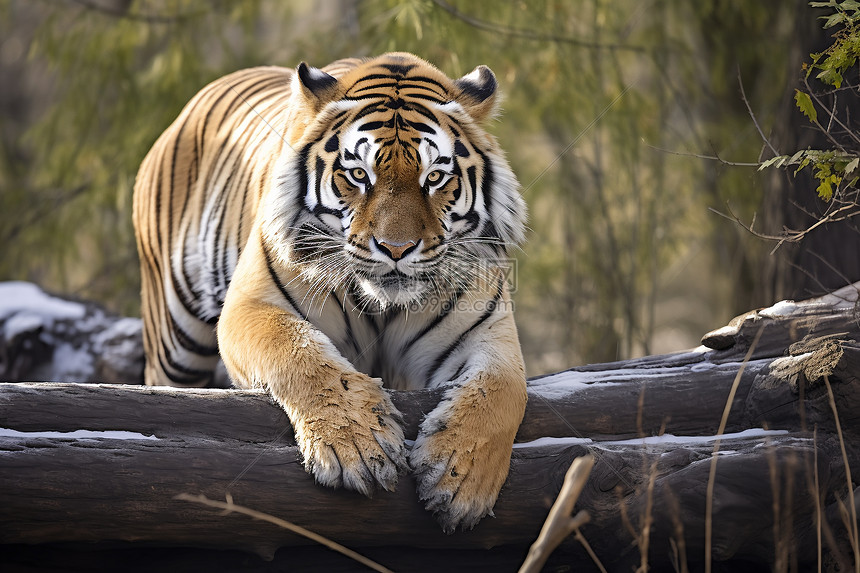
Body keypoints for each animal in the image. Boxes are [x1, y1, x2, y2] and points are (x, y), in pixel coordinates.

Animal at [132, 52, 528, 532]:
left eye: (434, 177)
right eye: (358, 174)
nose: (396, 249)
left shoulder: (487, 329)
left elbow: (505, 389)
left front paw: (460, 476)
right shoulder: (251, 306)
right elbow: (298, 352)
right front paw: (357, 446)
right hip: (174, 341)